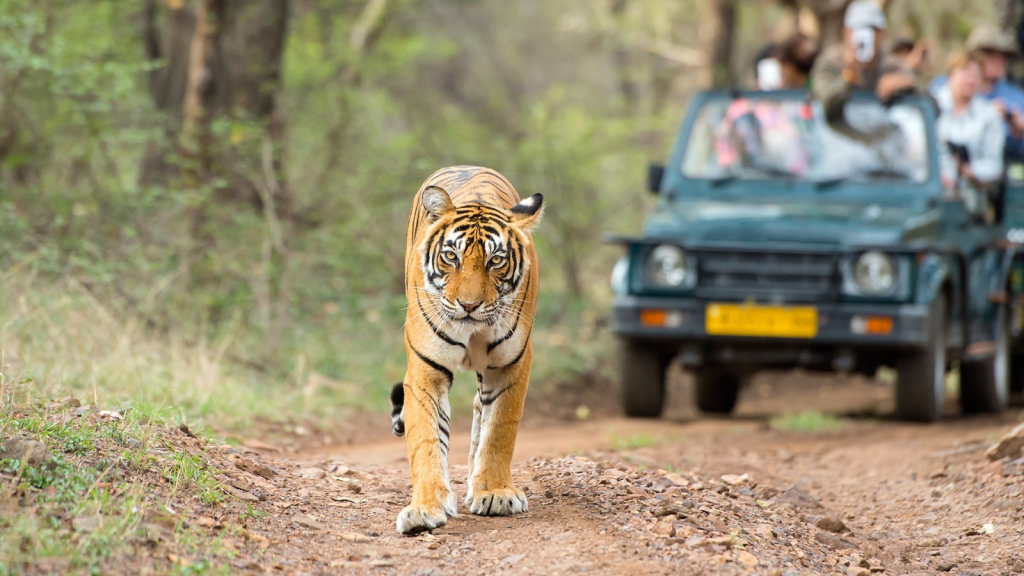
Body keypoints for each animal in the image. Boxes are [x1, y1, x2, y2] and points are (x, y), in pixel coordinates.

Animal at [387, 166, 544, 532]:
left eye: (496, 260)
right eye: (451, 257)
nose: (469, 305)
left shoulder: (511, 364)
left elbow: (499, 429)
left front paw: (495, 492)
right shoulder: (425, 370)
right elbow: (426, 438)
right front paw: (424, 508)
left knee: (480, 410)